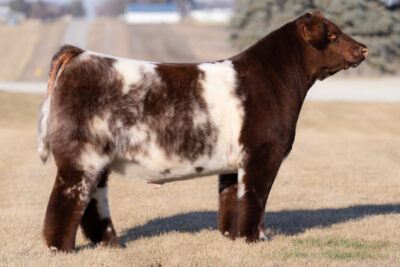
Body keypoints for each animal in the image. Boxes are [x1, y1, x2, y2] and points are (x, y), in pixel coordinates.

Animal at [39, 11, 368, 253]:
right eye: (332, 35)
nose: (363, 48)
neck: (276, 80)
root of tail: (80, 54)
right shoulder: (262, 154)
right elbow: (255, 197)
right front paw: (256, 238)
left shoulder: (234, 163)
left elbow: (232, 200)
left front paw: (233, 237)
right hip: (82, 157)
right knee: (65, 202)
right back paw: (62, 249)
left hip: (97, 161)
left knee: (93, 205)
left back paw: (112, 245)